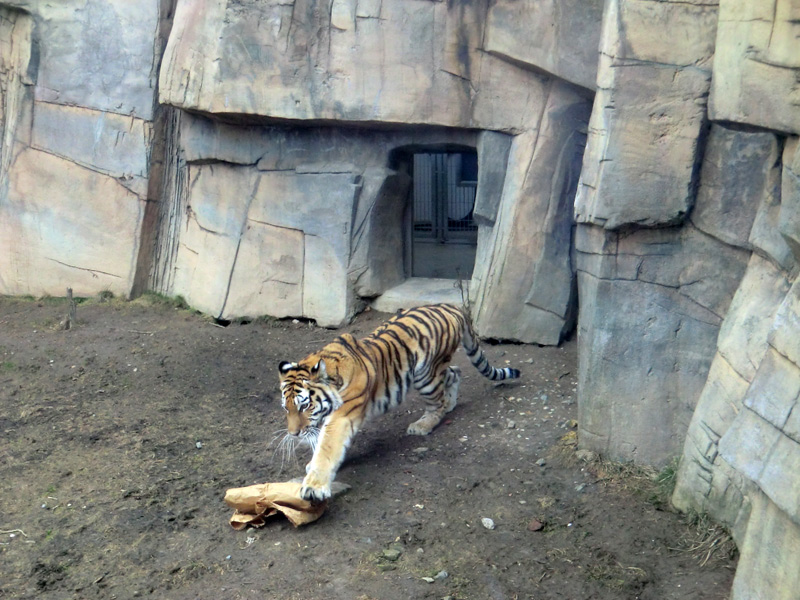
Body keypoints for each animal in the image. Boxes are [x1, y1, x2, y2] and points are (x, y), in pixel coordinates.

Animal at [278, 302, 520, 504]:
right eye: (286, 408)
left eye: (305, 406)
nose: (293, 434)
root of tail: (452, 306)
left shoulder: (343, 416)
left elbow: (328, 447)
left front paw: (314, 487)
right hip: (436, 371)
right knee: (454, 372)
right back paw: (451, 403)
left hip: (426, 375)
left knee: (438, 401)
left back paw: (423, 425)